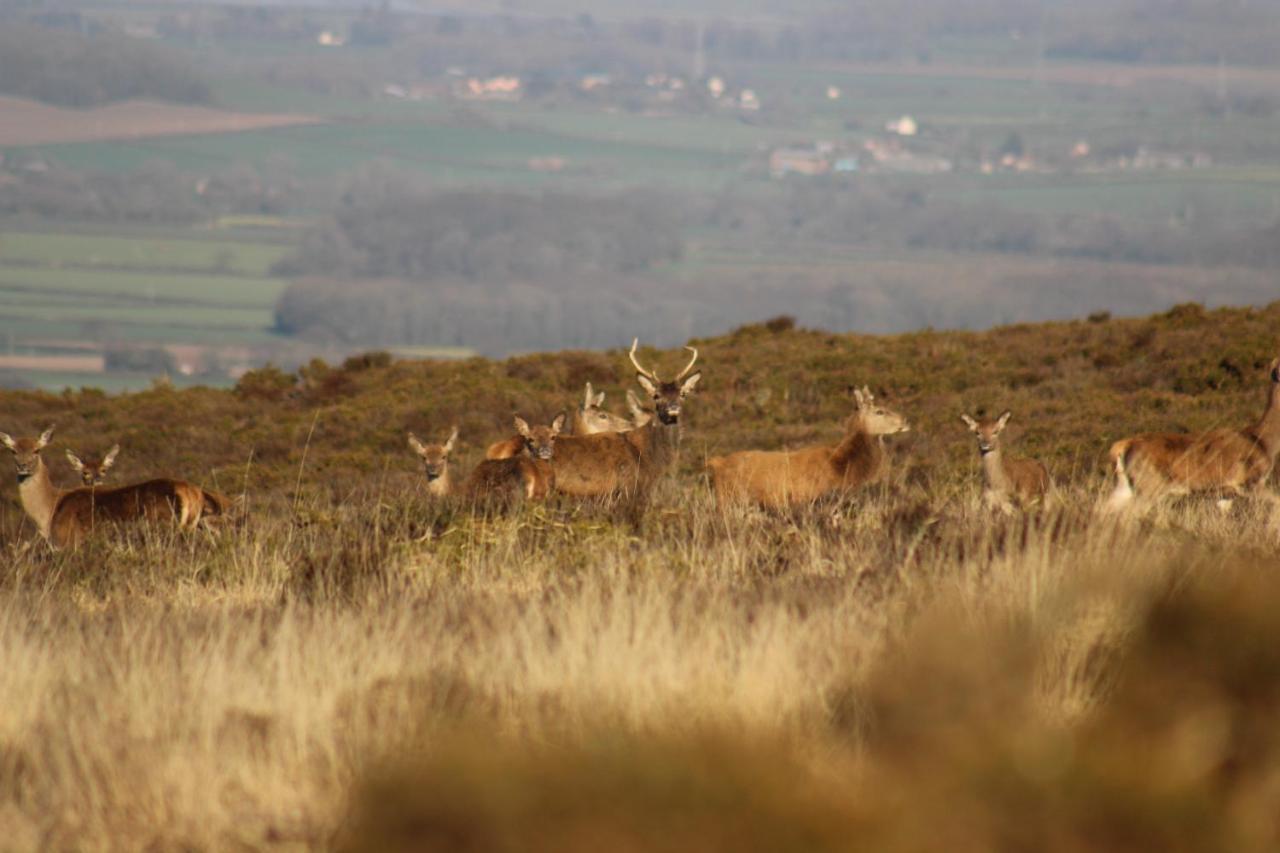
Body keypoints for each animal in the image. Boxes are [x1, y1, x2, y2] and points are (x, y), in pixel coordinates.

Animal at [0, 422, 232, 548]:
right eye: (13, 451)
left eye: (37, 450)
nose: (23, 466)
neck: (50, 510)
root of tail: (192, 493)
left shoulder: (70, 543)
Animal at [1100, 353, 1280, 512]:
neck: (1263, 440)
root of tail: (1124, 445)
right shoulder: (1250, 483)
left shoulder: (1225, 494)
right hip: (1148, 488)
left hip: (1124, 487)